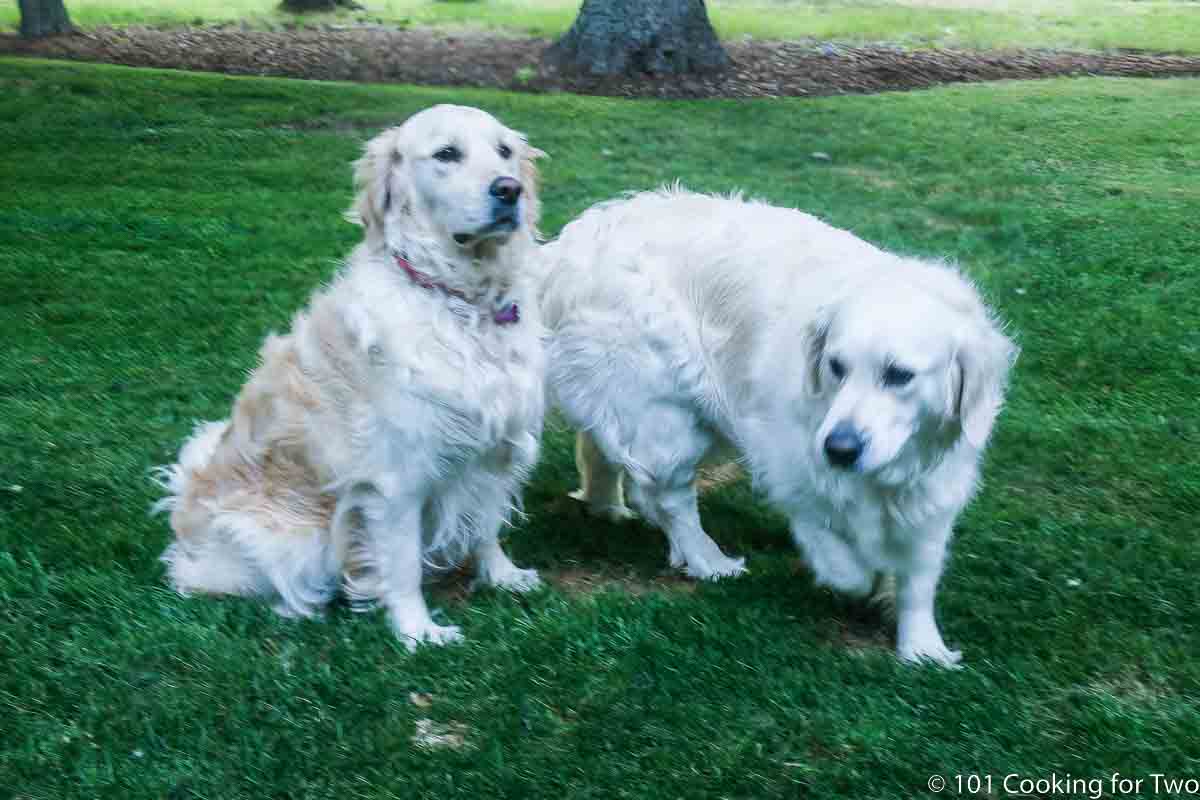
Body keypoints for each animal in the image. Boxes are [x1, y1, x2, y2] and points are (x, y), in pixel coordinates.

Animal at [152, 103, 547, 647]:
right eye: (447, 154)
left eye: (504, 151)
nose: (510, 190)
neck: (464, 301)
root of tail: (183, 513)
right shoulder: (397, 478)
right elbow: (402, 561)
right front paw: (418, 631)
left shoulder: (495, 450)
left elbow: (487, 524)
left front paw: (503, 575)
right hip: (294, 544)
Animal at [540, 189, 1017, 671]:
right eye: (836, 366)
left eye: (899, 375)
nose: (839, 449)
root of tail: (573, 241)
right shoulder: (790, 461)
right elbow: (838, 553)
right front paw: (862, 580)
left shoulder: (936, 486)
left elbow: (919, 573)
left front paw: (922, 646)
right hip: (666, 415)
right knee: (669, 497)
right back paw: (707, 559)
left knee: (604, 455)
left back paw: (608, 507)